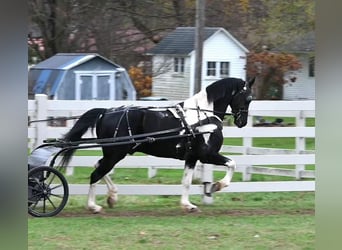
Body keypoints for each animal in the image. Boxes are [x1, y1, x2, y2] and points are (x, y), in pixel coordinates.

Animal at [60, 76, 254, 213]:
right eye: (248, 98)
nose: (242, 122)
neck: (203, 117)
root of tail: (106, 112)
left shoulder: (192, 157)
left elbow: (186, 182)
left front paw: (187, 205)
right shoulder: (207, 155)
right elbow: (232, 163)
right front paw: (216, 186)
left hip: (112, 153)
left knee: (98, 167)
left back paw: (112, 196)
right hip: (115, 153)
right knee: (96, 173)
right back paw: (93, 206)